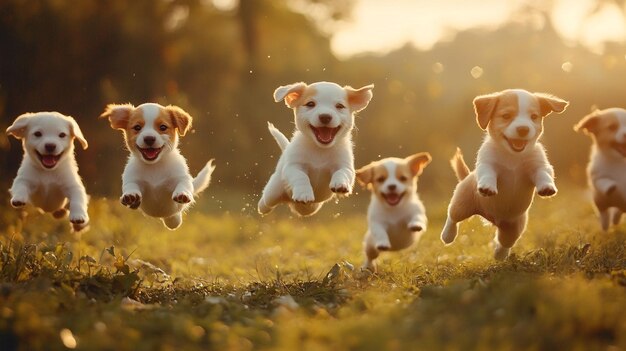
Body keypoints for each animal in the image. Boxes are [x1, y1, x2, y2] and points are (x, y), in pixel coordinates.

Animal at [98, 102, 214, 231]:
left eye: (163, 127)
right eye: (137, 127)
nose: (149, 138)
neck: (154, 165)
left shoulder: (181, 177)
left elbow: (184, 185)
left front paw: (182, 194)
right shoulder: (132, 179)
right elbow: (131, 186)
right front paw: (130, 196)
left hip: (173, 217)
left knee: (174, 220)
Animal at [258, 81, 372, 217]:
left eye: (339, 106)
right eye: (310, 104)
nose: (325, 116)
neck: (320, 150)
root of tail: (289, 201)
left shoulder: (345, 166)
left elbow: (342, 172)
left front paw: (340, 184)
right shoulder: (293, 167)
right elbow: (301, 176)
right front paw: (304, 193)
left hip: (311, 208)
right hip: (273, 191)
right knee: (266, 201)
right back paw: (262, 208)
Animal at [438, 90, 564, 262]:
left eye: (533, 117)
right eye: (506, 116)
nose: (523, 129)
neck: (512, 156)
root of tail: (492, 219)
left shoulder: (538, 165)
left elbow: (544, 174)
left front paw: (547, 187)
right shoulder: (487, 164)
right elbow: (488, 174)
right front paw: (487, 187)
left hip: (514, 228)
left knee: (504, 242)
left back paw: (500, 255)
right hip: (462, 204)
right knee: (452, 216)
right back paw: (447, 235)